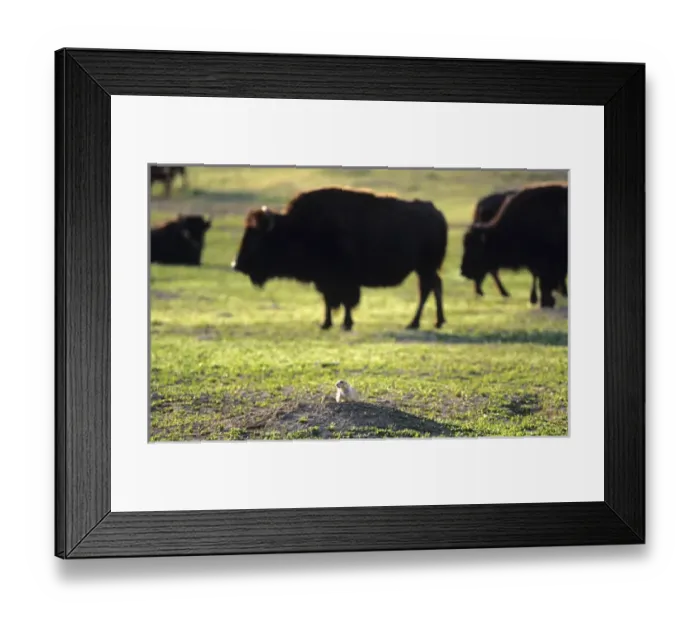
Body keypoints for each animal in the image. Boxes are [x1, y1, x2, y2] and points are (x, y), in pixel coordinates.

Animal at [231, 186, 449, 331]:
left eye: (258, 239)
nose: (236, 264)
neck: (296, 228)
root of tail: (437, 214)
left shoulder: (343, 279)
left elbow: (345, 301)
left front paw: (345, 323)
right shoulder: (324, 280)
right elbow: (329, 301)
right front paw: (326, 323)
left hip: (425, 267)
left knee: (427, 289)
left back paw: (415, 323)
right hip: (424, 268)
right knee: (434, 286)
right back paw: (436, 322)